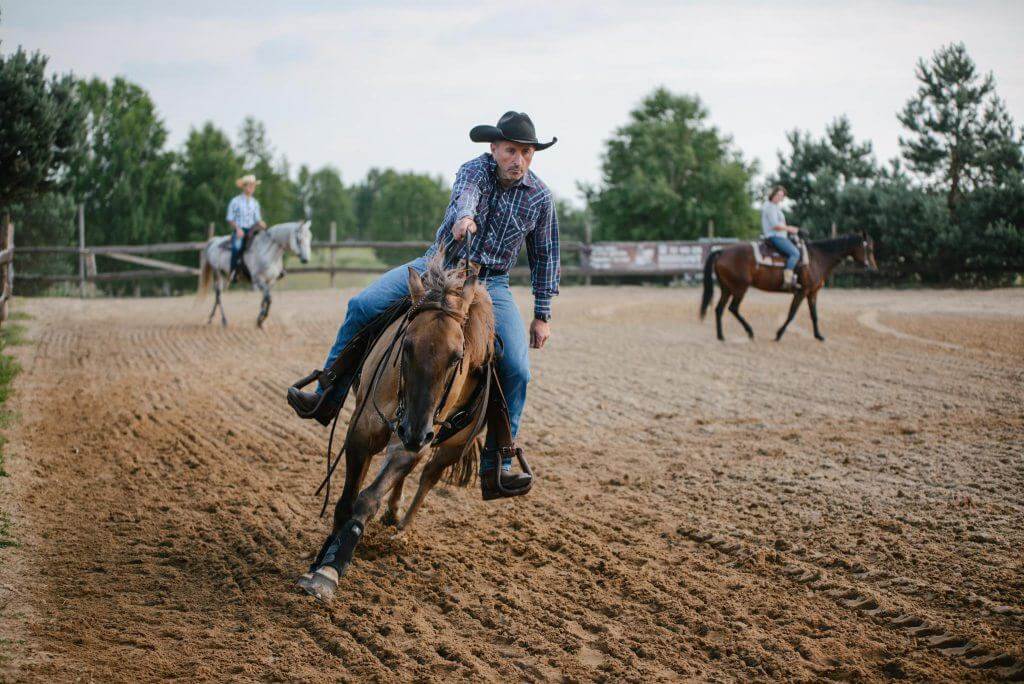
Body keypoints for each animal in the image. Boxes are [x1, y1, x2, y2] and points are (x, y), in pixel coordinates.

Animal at [296, 253, 495, 602]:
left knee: (429, 476)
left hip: (449, 445)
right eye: (407, 345)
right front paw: (322, 560)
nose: (415, 429)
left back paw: (401, 533)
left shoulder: (416, 443)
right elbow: (346, 502)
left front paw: (331, 570)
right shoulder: (362, 432)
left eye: (457, 356)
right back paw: (393, 511)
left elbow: (367, 500)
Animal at [700, 232, 876, 342]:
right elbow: (792, 314)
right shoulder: (802, 292)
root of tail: (721, 251)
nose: (872, 267)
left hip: (727, 288)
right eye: (868, 248)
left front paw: (819, 336)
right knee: (733, 308)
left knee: (719, 309)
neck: (817, 258)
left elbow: (814, 315)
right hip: (739, 288)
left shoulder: (812, 293)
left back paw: (721, 336)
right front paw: (778, 334)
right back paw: (749, 331)